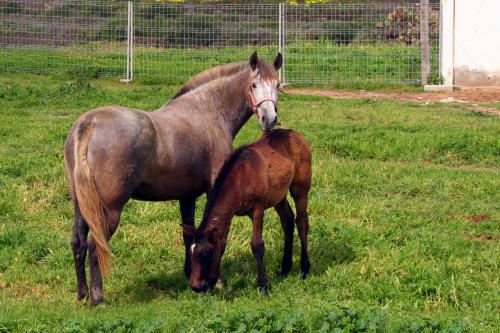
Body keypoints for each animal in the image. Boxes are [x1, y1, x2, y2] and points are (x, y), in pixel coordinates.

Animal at [63, 51, 282, 304]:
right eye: (254, 85)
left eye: (277, 85)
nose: (269, 119)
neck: (208, 111)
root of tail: (89, 124)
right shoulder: (214, 190)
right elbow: (217, 234)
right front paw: (216, 282)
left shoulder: (187, 196)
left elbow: (189, 233)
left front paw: (190, 275)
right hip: (109, 210)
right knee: (94, 245)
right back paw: (97, 299)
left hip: (81, 205)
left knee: (77, 242)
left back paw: (82, 293)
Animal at [182, 128, 310, 294]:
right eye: (190, 253)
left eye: (206, 252)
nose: (196, 286)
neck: (239, 179)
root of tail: (295, 134)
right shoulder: (229, 213)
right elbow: (222, 243)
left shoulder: (257, 208)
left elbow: (257, 245)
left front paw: (263, 286)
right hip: (278, 195)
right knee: (287, 220)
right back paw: (285, 270)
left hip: (300, 188)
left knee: (302, 223)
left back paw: (304, 269)